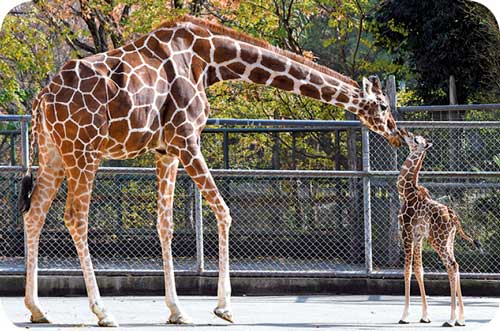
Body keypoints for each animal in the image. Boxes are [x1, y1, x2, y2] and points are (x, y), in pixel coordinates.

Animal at [19, 14, 404, 326]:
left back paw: (38, 309)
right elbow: (224, 211)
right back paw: (102, 312)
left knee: (35, 213)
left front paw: (177, 311)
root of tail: (41, 98)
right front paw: (224, 308)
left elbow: (166, 224)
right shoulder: (188, 140)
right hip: (84, 152)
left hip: (54, 154)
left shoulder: (166, 151)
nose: (397, 134)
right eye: (384, 105)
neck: (210, 59)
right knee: (74, 217)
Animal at [398, 132, 480, 326]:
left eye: (415, 139)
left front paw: (404, 316)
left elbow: (407, 270)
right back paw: (461, 319)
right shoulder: (418, 236)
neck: (406, 191)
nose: (404, 133)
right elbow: (419, 270)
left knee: (452, 265)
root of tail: (453, 216)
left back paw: (451, 320)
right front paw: (425, 316)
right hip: (448, 240)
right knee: (456, 266)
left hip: (438, 241)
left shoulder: (406, 232)